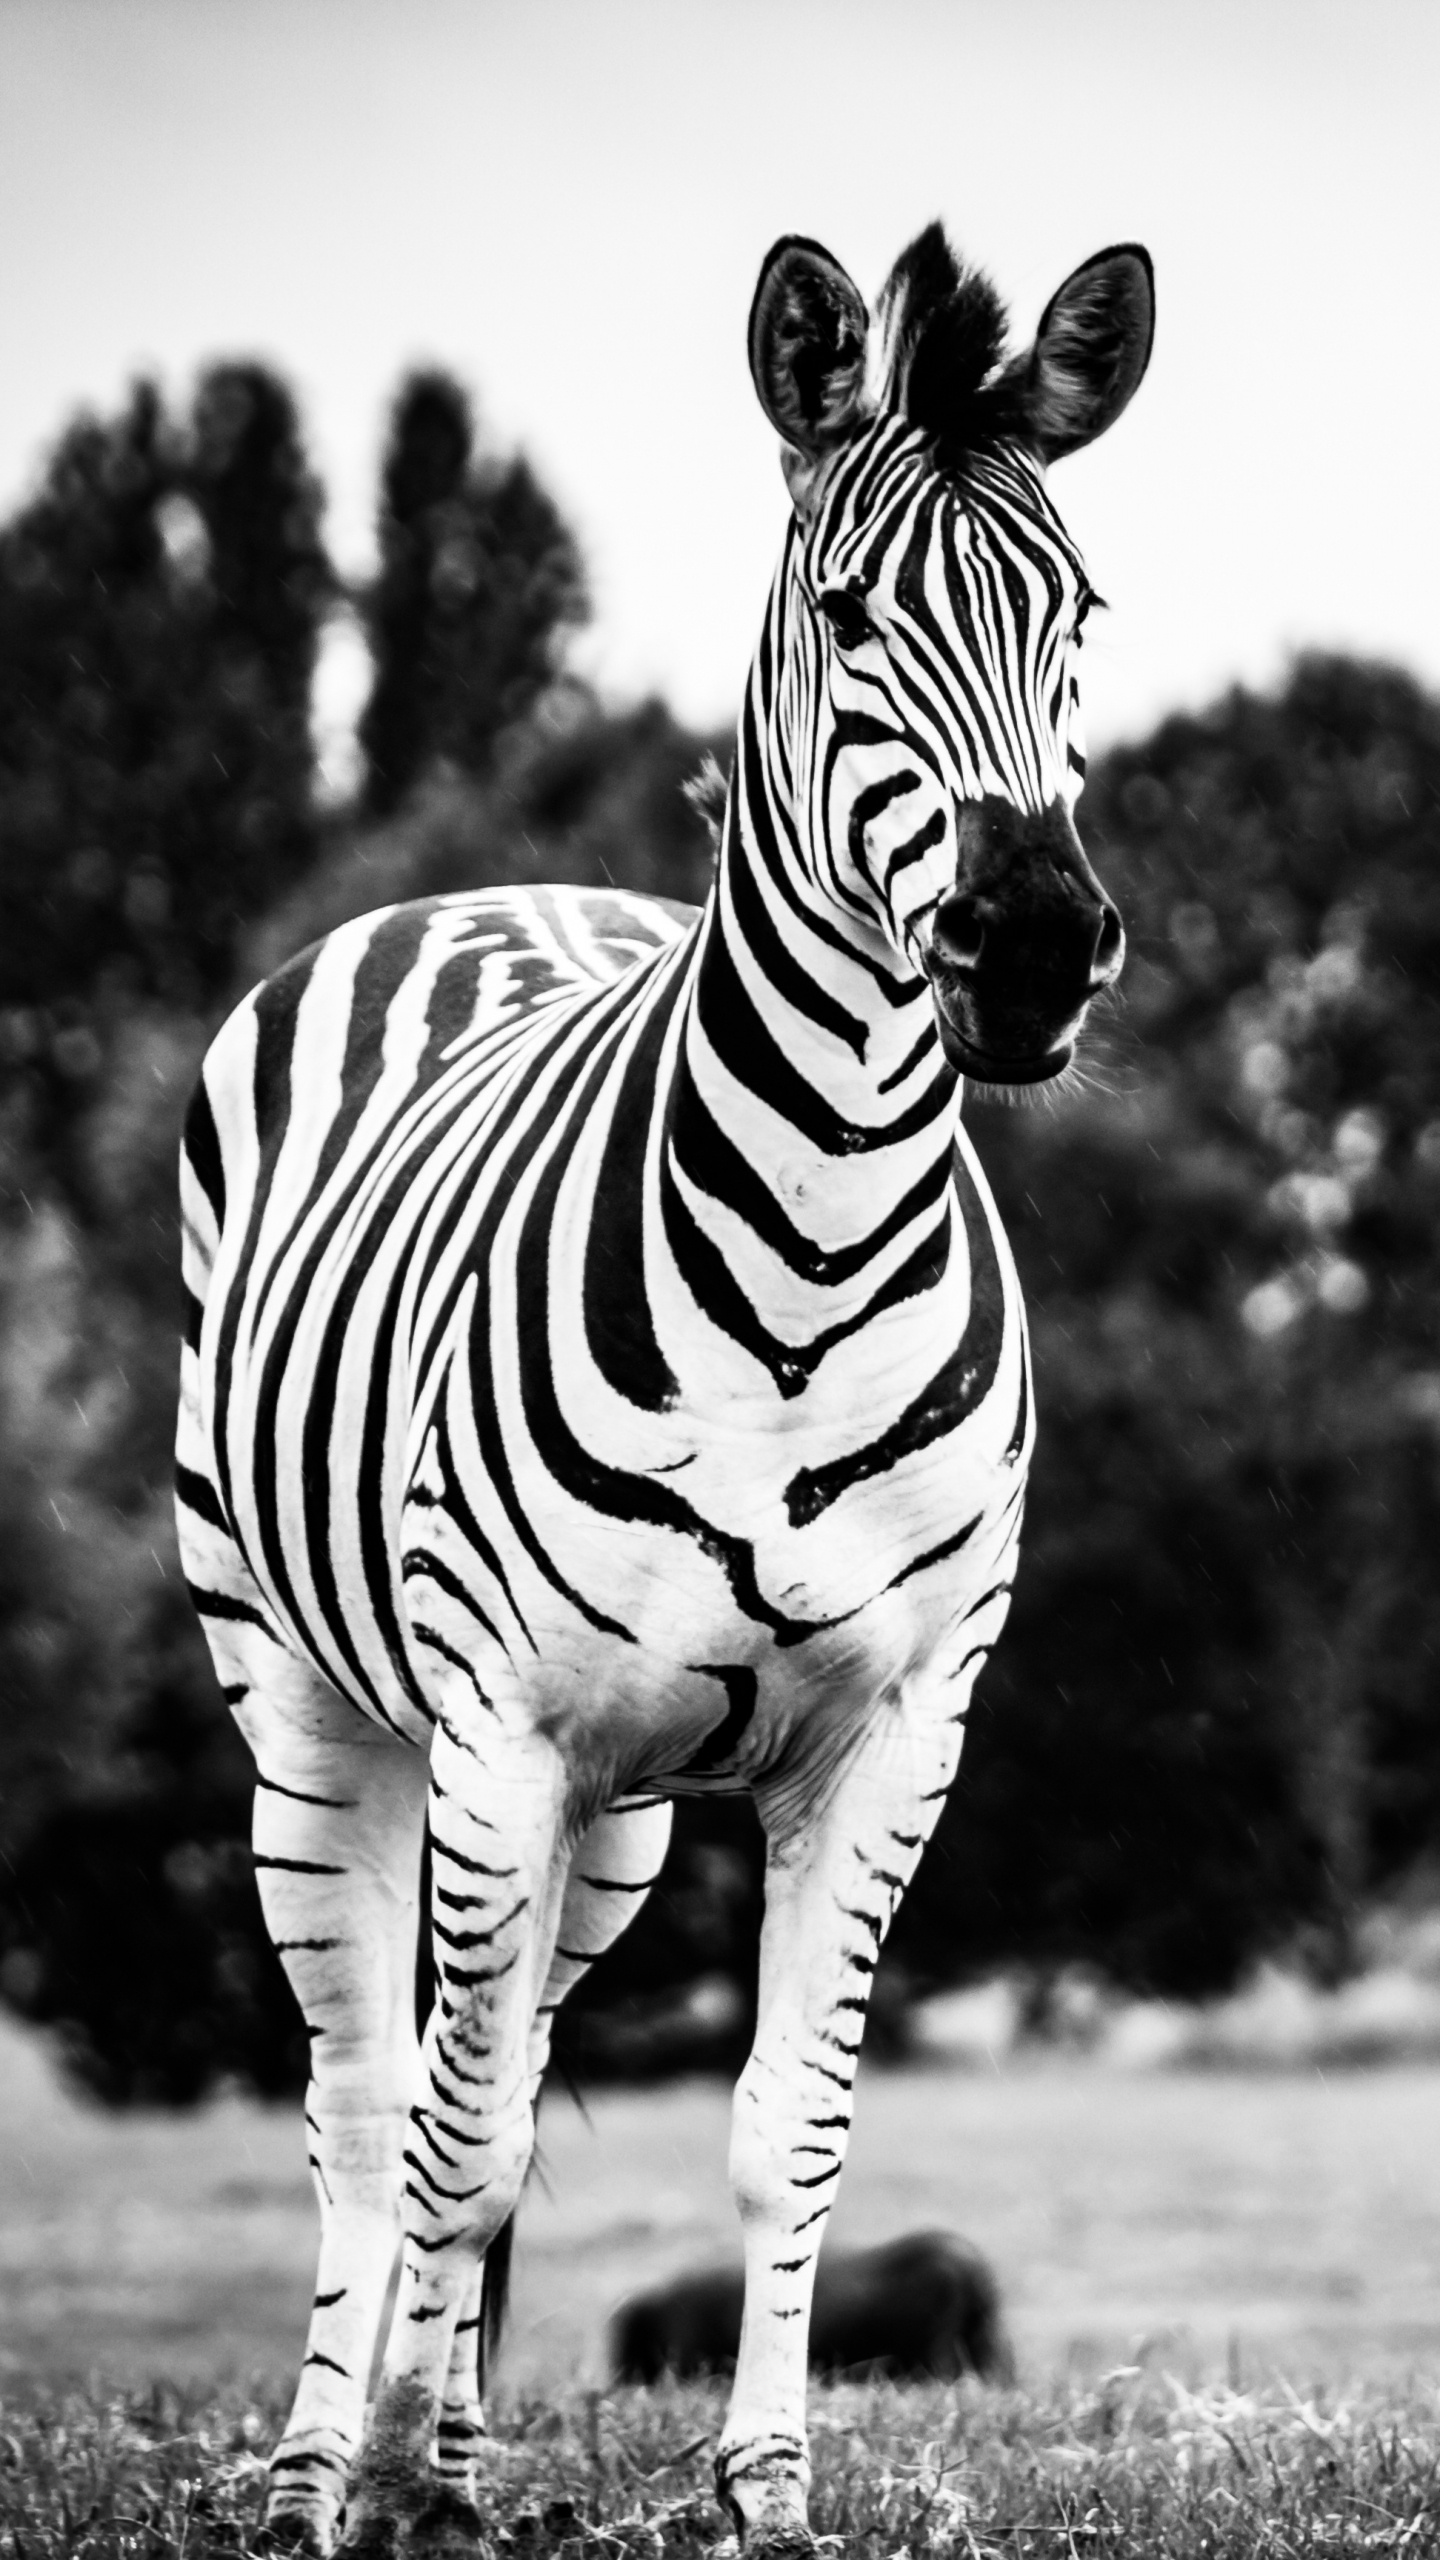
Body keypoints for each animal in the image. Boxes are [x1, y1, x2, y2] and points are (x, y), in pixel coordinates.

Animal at [176, 222, 1152, 2557]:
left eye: (1077, 613)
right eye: (850, 612)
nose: (1032, 947)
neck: (805, 1245)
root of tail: (499, 889)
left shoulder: (895, 1734)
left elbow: (778, 2126)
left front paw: (766, 2483)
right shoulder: (499, 1724)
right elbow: (435, 2136)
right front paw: (388, 2492)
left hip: (609, 1814)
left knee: (508, 2071)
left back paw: (444, 2445)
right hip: (314, 1708)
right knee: (373, 2099)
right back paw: (321, 2464)